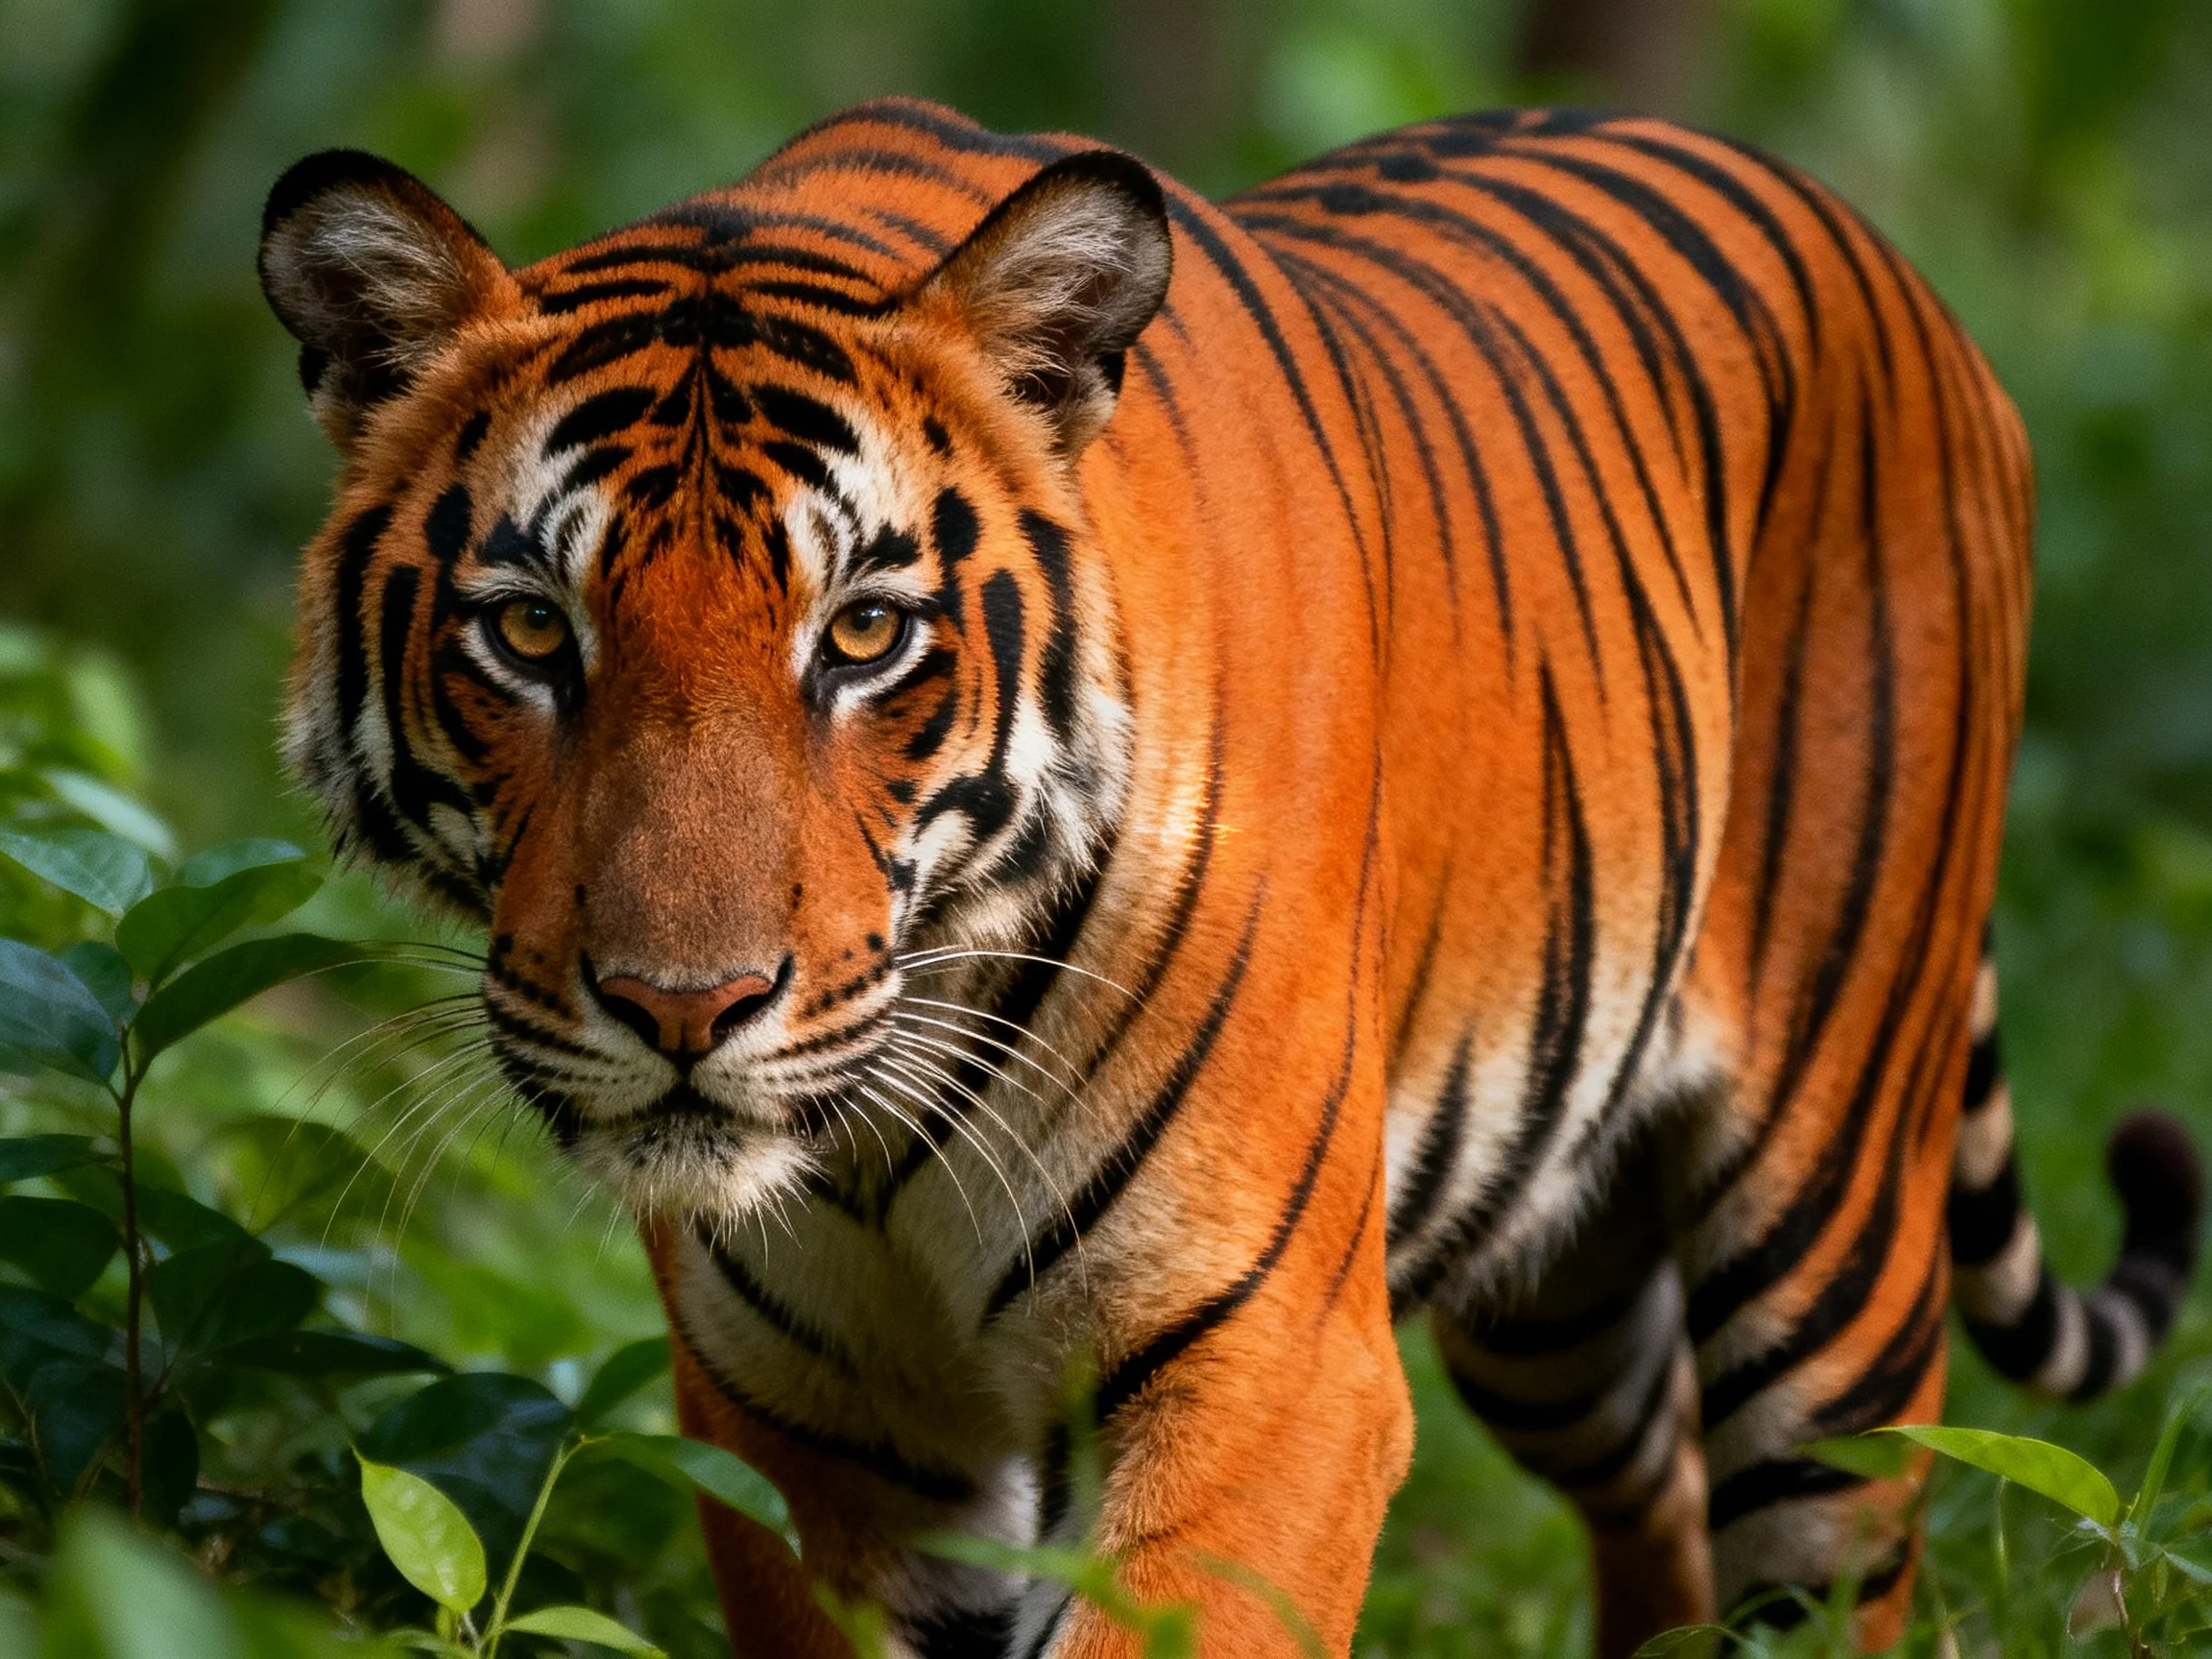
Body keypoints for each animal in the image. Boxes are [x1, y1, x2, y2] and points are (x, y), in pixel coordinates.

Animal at [257, 98, 2201, 1658]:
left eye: (864, 635)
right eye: (529, 632)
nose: (685, 1009)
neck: (889, 1128)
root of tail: (1864, 238)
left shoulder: (1273, 1365)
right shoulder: (810, 1419)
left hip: (1830, 1269)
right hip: (1556, 1287)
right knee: (1647, 1470)